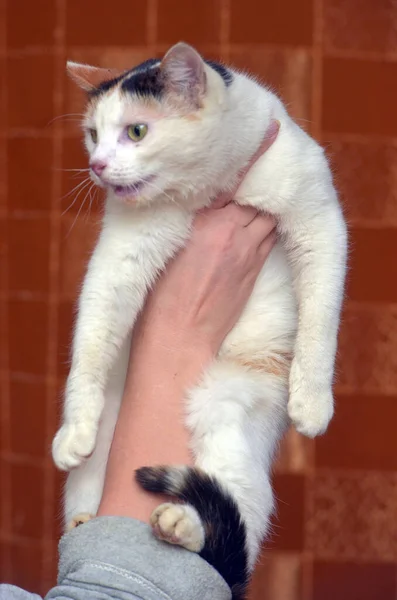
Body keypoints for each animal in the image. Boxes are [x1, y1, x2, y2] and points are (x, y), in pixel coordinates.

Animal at [52, 41, 346, 596]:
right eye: (93, 133)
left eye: (136, 131)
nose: (97, 165)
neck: (200, 192)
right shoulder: (119, 254)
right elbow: (91, 338)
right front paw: (73, 427)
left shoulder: (318, 219)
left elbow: (322, 313)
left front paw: (313, 402)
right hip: (95, 470)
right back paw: (89, 520)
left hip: (227, 420)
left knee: (237, 523)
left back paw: (183, 523)